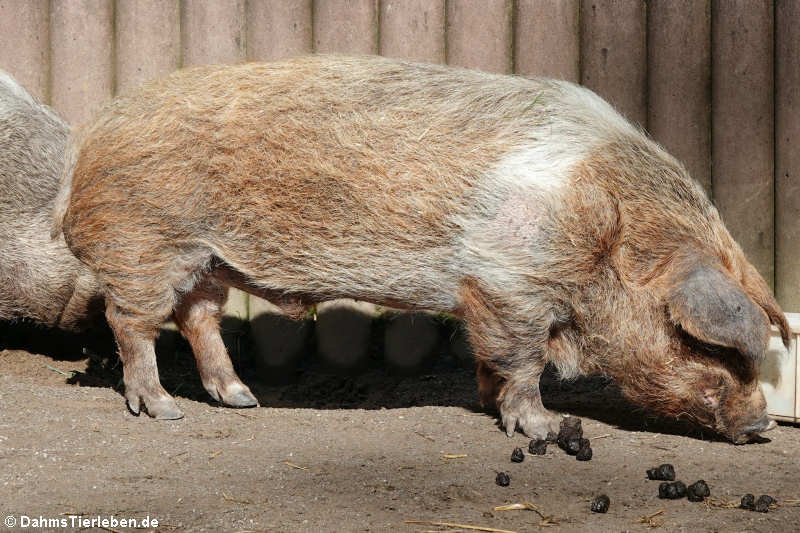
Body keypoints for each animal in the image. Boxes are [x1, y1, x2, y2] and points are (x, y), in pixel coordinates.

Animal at [54, 56, 788, 442]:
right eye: (707, 346)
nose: (762, 425)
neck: (605, 235)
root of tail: (88, 140)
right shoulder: (508, 279)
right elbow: (524, 361)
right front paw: (544, 429)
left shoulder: (492, 293)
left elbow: (494, 359)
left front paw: (493, 406)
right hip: (144, 242)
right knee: (132, 324)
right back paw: (163, 409)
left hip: (205, 258)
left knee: (198, 317)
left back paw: (241, 399)